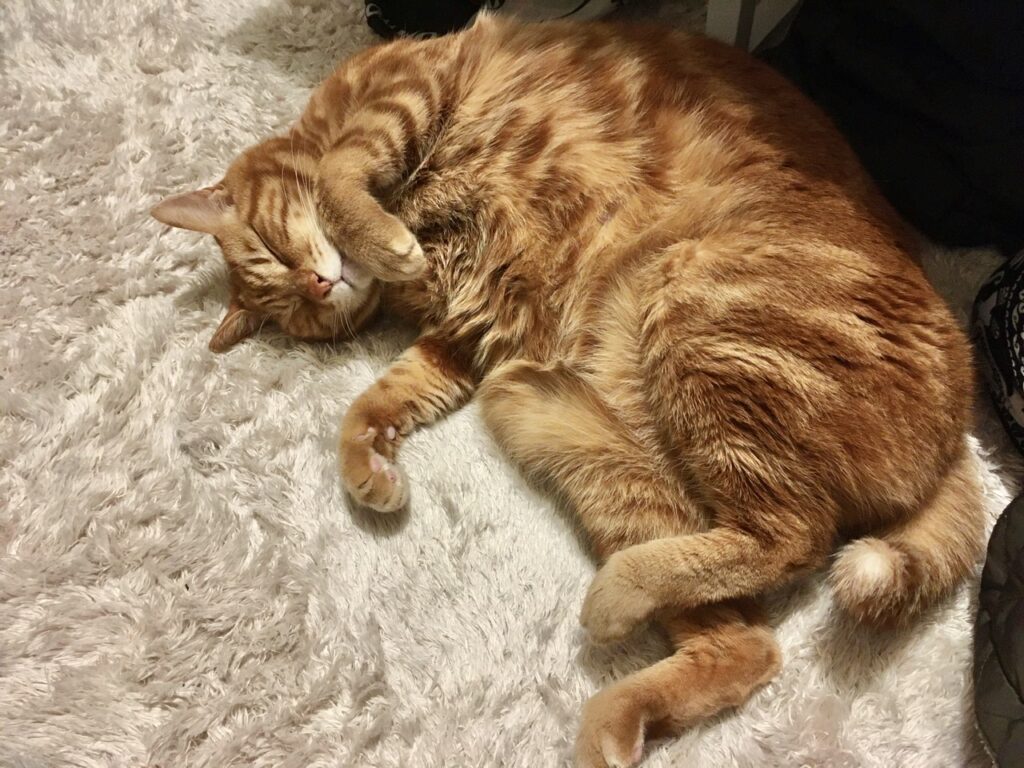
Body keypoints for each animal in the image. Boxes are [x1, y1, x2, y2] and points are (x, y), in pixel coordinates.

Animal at [151, 14, 983, 767]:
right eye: (299, 311)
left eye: (273, 252)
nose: (324, 285)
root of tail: (963, 418)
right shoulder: (464, 345)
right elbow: (375, 402)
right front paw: (371, 467)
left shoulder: (407, 89)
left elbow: (340, 175)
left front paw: (381, 238)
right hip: (565, 424)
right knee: (747, 635)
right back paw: (616, 711)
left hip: (697, 318)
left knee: (793, 541)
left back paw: (615, 603)